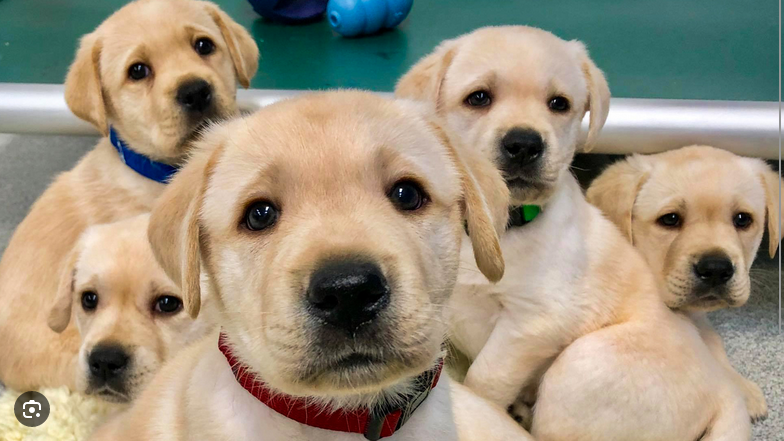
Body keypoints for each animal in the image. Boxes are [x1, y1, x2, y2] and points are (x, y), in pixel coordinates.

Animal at [402, 27, 752, 440]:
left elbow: (484, 380)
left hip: (579, 366)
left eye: (559, 103)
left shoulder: (534, 323)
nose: (524, 144)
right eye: (479, 97)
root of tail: (723, 390)